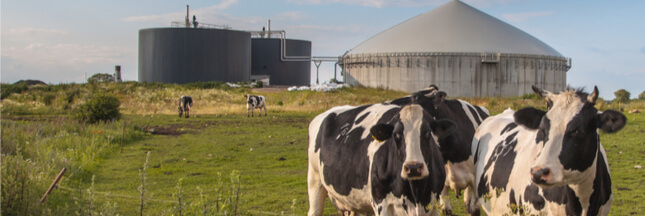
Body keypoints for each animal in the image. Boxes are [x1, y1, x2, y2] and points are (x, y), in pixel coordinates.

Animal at [308, 103, 456, 216]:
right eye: (396, 135)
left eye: (427, 132)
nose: (413, 168)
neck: (416, 194)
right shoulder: (380, 204)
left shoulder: (433, 203)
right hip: (315, 180)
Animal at [388, 85, 488, 215]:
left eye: (416, 97)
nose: (389, 103)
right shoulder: (442, 184)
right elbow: (446, 210)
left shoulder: (475, 182)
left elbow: (474, 210)